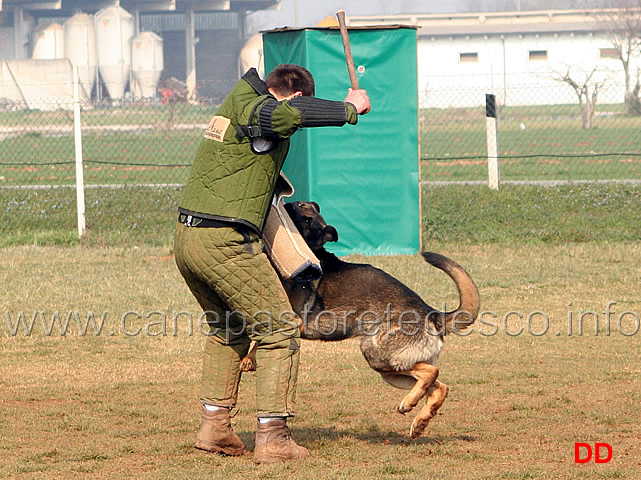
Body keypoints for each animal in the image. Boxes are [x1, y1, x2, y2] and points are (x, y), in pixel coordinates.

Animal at [242, 202, 478, 438]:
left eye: (307, 216)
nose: (288, 203)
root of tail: (431, 313)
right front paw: (249, 359)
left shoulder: (293, 320)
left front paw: (249, 358)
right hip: (390, 371)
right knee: (440, 387)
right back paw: (420, 420)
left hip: (376, 353)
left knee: (431, 372)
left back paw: (409, 403)